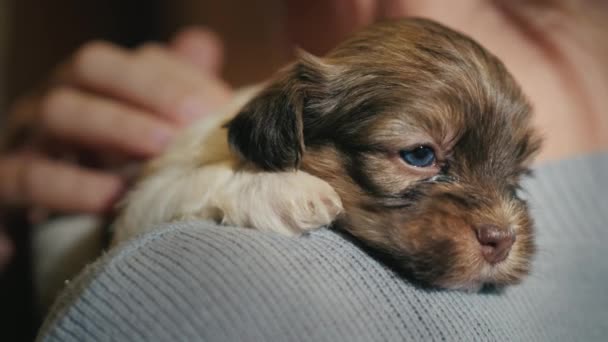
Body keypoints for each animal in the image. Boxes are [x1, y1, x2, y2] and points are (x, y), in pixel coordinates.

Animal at [115, 18, 540, 290]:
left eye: (516, 175)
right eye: (420, 155)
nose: (504, 240)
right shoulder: (143, 202)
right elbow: (202, 179)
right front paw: (286, 191)